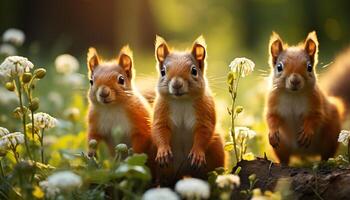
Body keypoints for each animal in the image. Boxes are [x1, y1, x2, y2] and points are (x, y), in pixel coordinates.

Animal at [152, 35, 226, 183]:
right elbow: (159, 130)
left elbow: (204, 132)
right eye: (163, 72)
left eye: (194, 71)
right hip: (166, 171)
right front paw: (163, 152)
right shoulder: (161, 111)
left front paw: (197, 153)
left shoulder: (205, 112)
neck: (181, 102)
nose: (176, 84)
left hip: (215, 153)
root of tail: (184, 172)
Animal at [266, 30, 344, 162]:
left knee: (326, 154)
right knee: (284, 158)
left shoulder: (316, 103)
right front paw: (272, 133)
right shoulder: (272, 102)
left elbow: (315, 118)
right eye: (279, 67)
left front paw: (307, 132)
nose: (295, 81)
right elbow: (271, 117)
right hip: (282, 147)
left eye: (309, 67)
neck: (293, 95)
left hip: (331, 135)